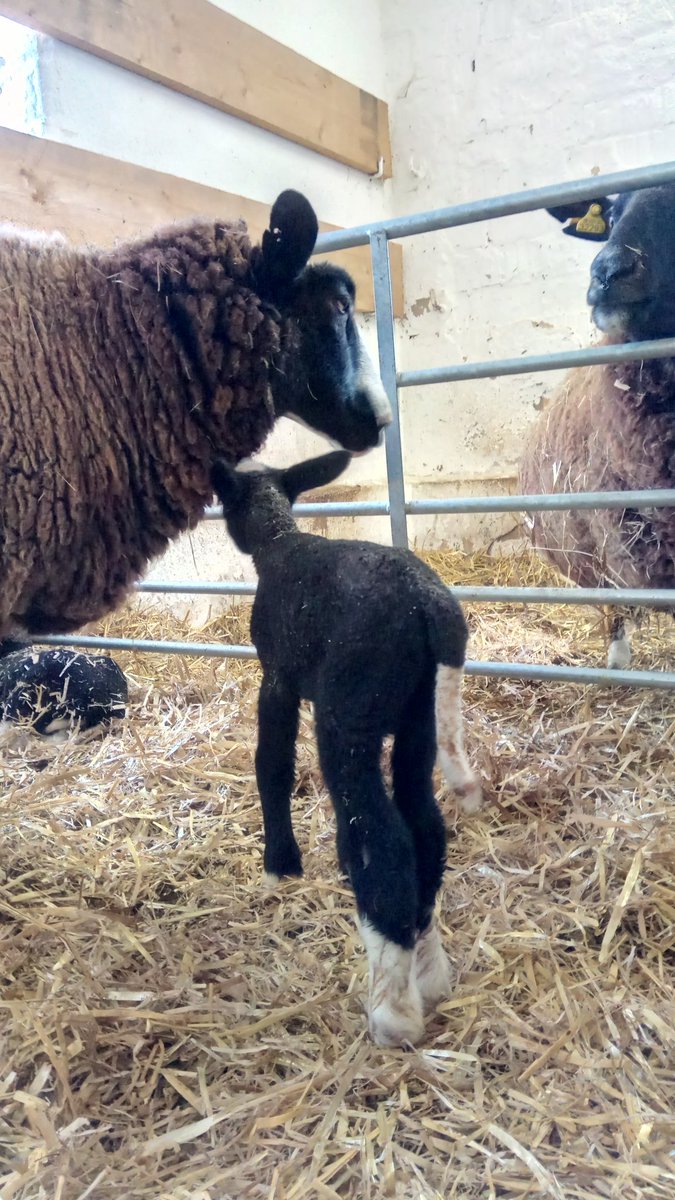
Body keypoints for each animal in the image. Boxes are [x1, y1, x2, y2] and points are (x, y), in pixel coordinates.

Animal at [210, 450, 483, 1048]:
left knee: (380, 840)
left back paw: (392, 1012)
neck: (277, 540)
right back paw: (430, 973)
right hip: (419, 717)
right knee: (423, 826)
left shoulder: (278, 676)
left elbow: (272, 763)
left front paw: (280, 866)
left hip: (349, 715)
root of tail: (433, 609)